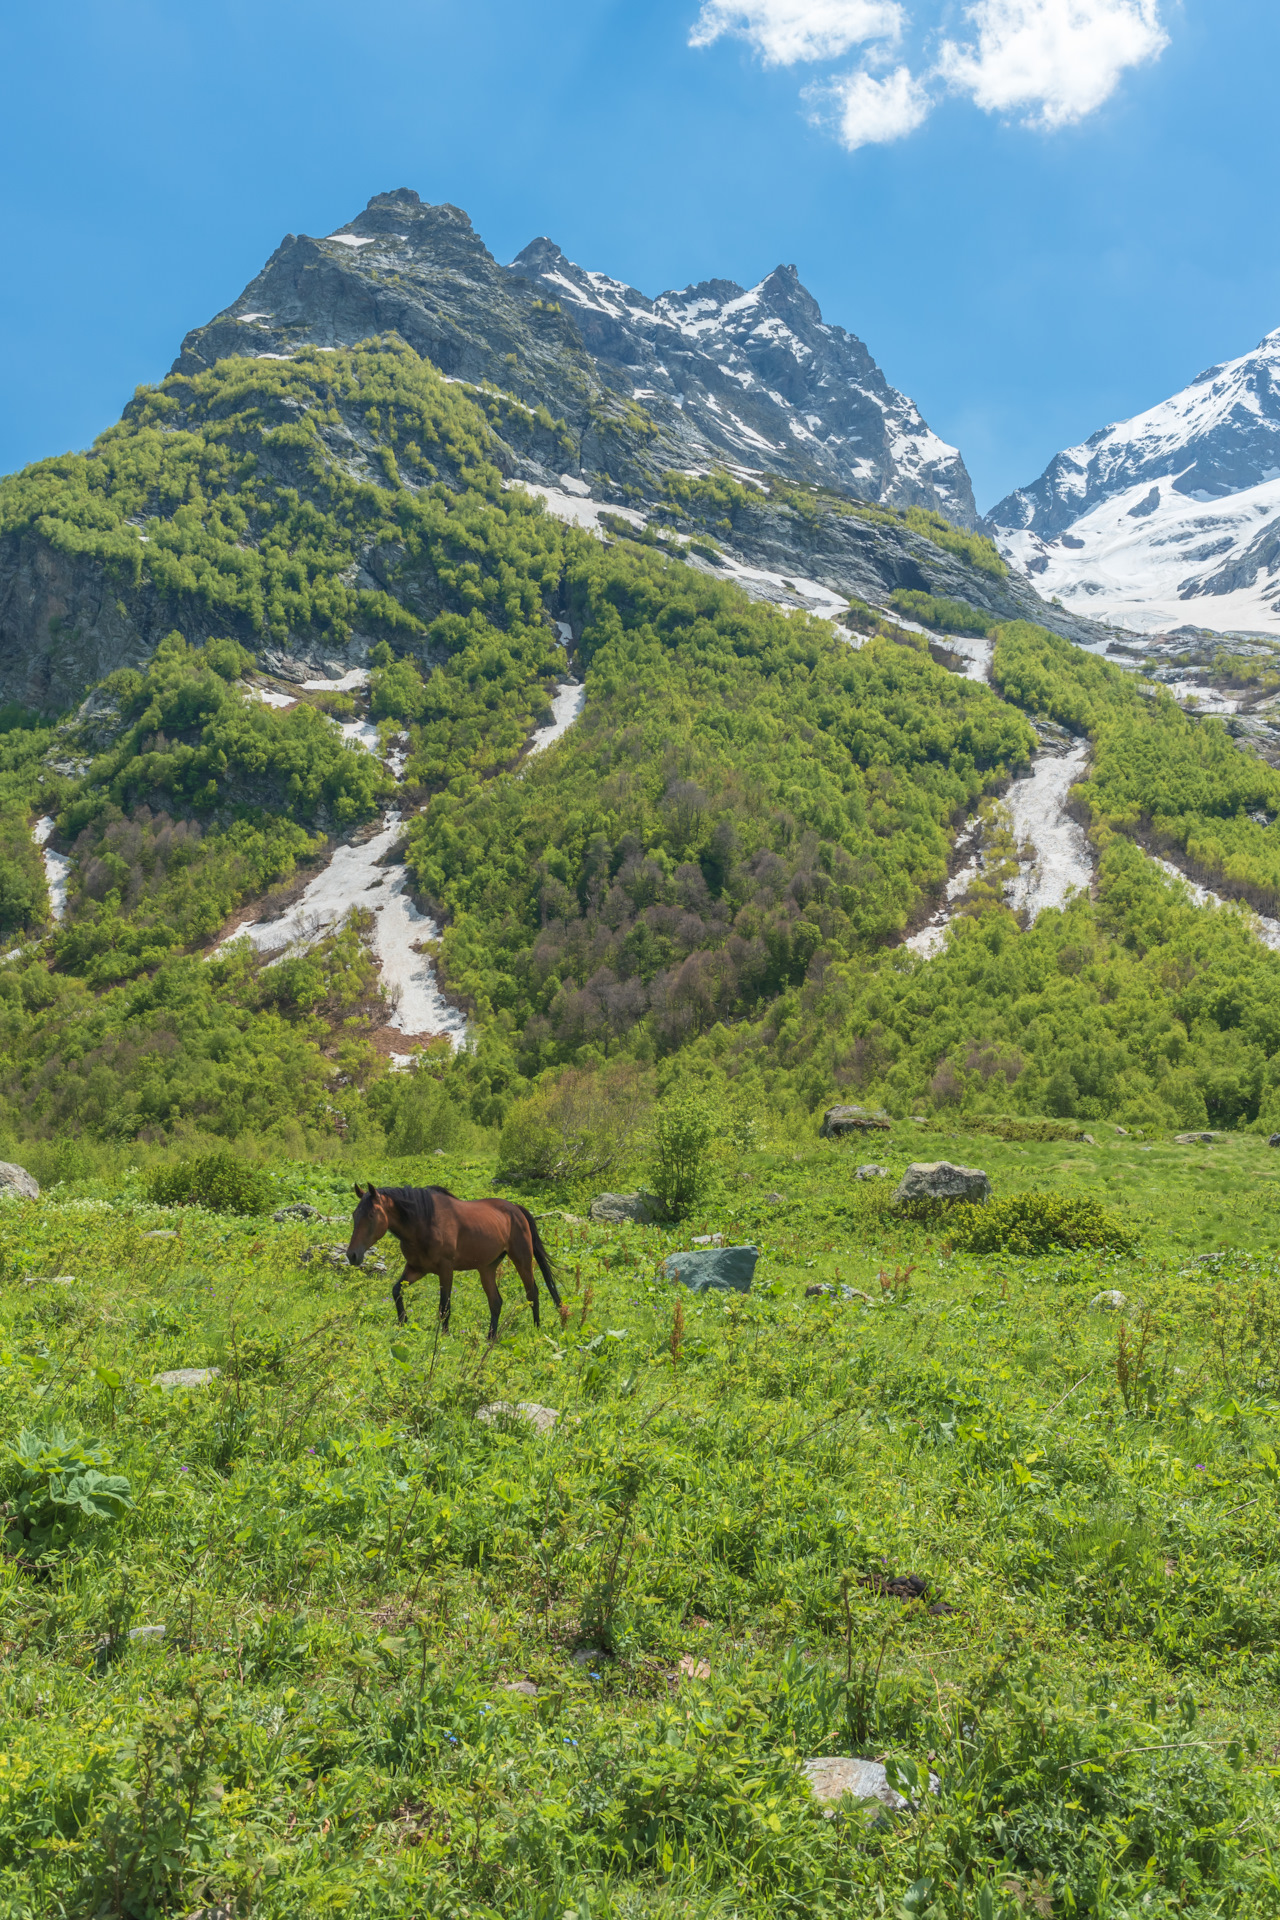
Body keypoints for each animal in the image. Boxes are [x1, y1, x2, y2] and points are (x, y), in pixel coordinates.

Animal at [345, 1175, 560, 1344]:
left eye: (371, 1215)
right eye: (355, 1214)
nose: (352, 1255)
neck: (423, 1222)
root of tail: (515, 1209)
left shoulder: (445, 1269)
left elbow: (444, 1306)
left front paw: (444, 1336)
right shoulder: (416, 1268)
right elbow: (397, 1290)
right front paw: (402, 1323)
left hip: (522, 1259)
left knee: (532, 1293)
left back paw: (537, 1329)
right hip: (487, 1268)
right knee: (496, 1301)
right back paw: (490, 1337)